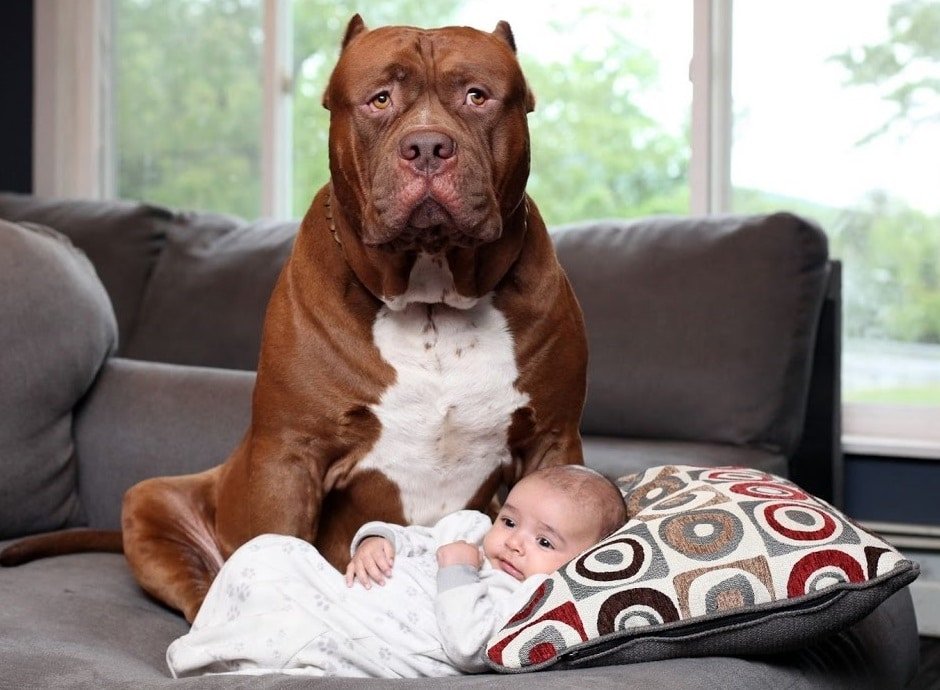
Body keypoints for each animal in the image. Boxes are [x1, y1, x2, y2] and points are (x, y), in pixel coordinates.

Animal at [1, 16, 588, 620]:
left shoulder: (552, 441)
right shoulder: (288, 457)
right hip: (152, 501)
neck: (432, 301)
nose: (427, 145)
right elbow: (277, 542)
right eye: (380, 99)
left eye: (477, 96)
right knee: (199, 584)